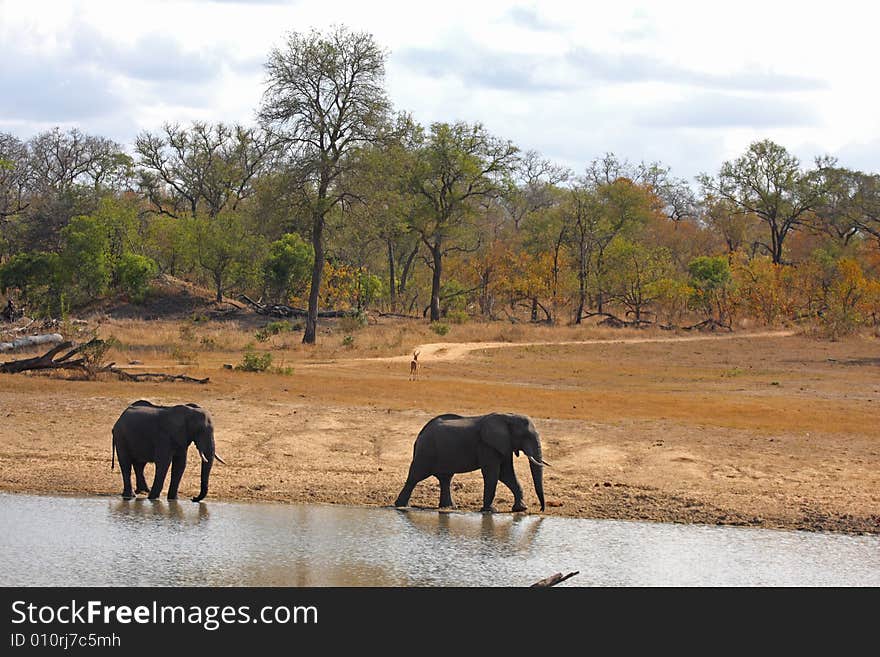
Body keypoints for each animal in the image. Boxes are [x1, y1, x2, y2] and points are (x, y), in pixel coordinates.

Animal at [394, 410, 552, 512]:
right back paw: (401, 506)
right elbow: (494, 474)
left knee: (445, 478)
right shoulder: (487, 445)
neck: (508, 416)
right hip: (427, 451)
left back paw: (449, 507)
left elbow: (506, 474)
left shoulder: (504, 445)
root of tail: (420, 434)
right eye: (525, 436)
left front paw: (520, 509)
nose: (541, 509)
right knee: (416, 475)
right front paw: (490, 510)